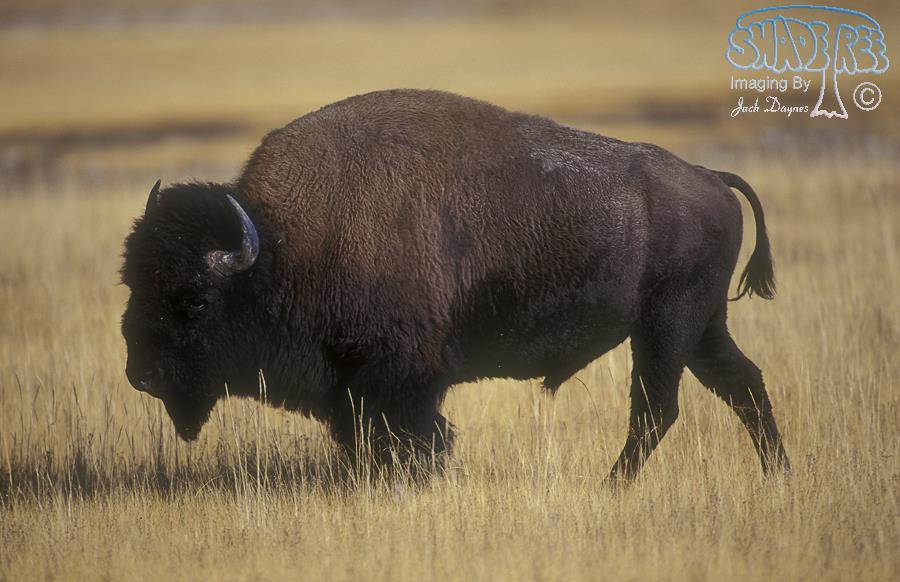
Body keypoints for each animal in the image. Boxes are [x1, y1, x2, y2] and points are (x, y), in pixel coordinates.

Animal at [121, 89, 790, 480]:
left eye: (196, 301)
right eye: (132, 284)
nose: (141, 375)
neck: (284, 246)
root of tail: (708, 175)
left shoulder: (401, 378)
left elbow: (411, 435)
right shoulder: (352, 386)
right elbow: (363, 435)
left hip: (666, 324)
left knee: (657, 407)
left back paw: (612, 486)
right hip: (699, 326)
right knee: (741, 384)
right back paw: (777, 474)